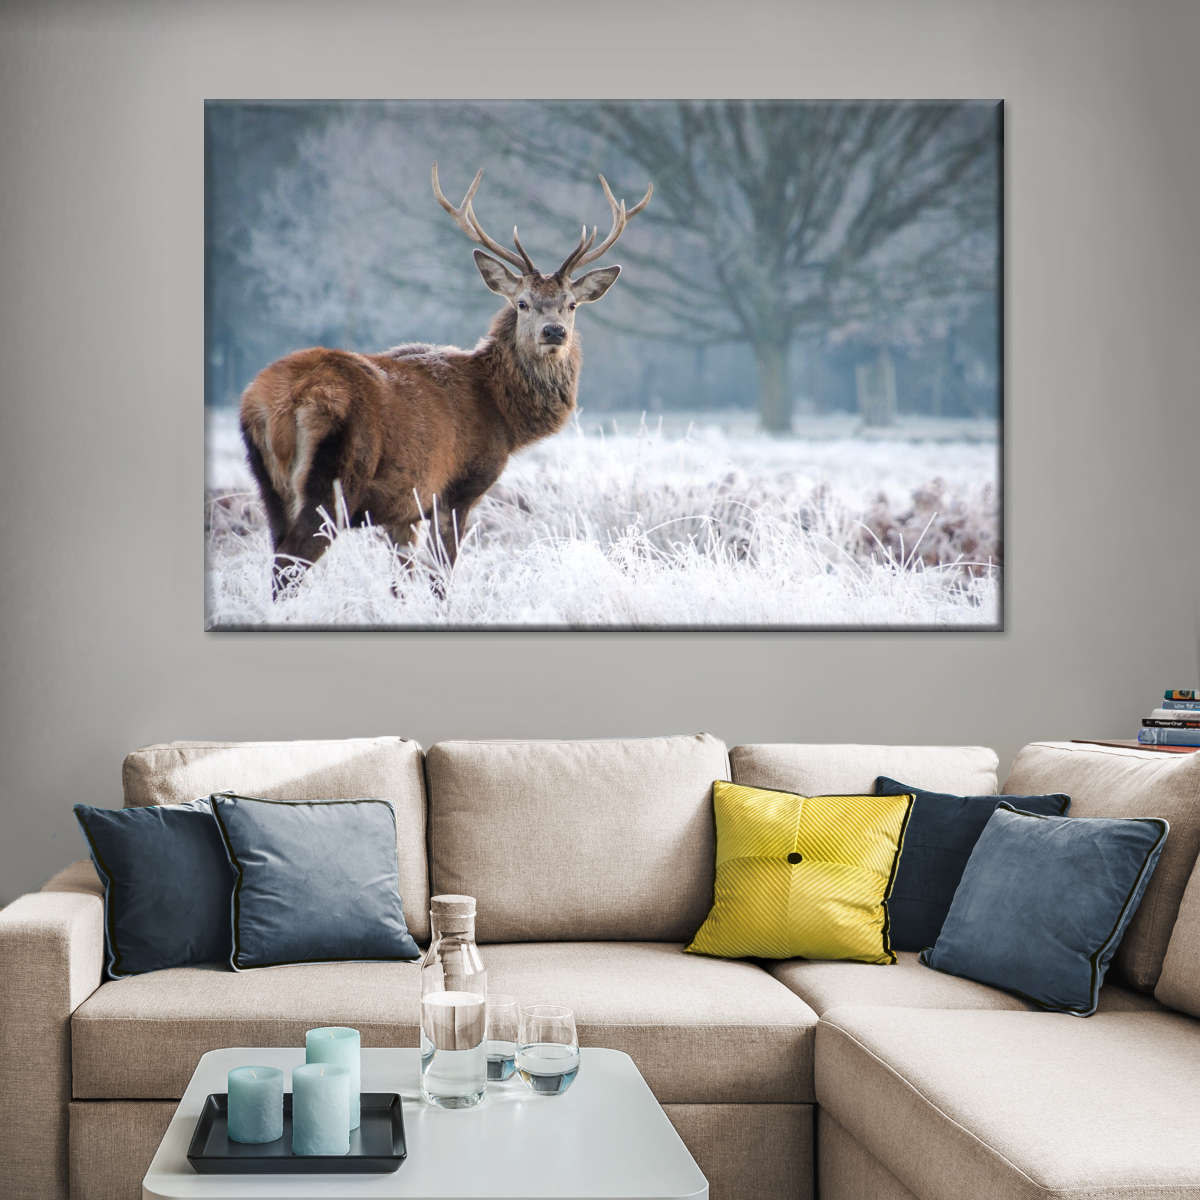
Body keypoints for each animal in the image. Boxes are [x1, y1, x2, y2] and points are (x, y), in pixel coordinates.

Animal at [238, 163, 652, 597]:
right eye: (522, 303)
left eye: (571, 305)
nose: (554, 332)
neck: (502, 415)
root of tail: (276, 404)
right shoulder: (456, 490)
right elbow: (440, 579)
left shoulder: (402, 508)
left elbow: (401, 582)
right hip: (333, 480)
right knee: (288, 567)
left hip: (269, 485)